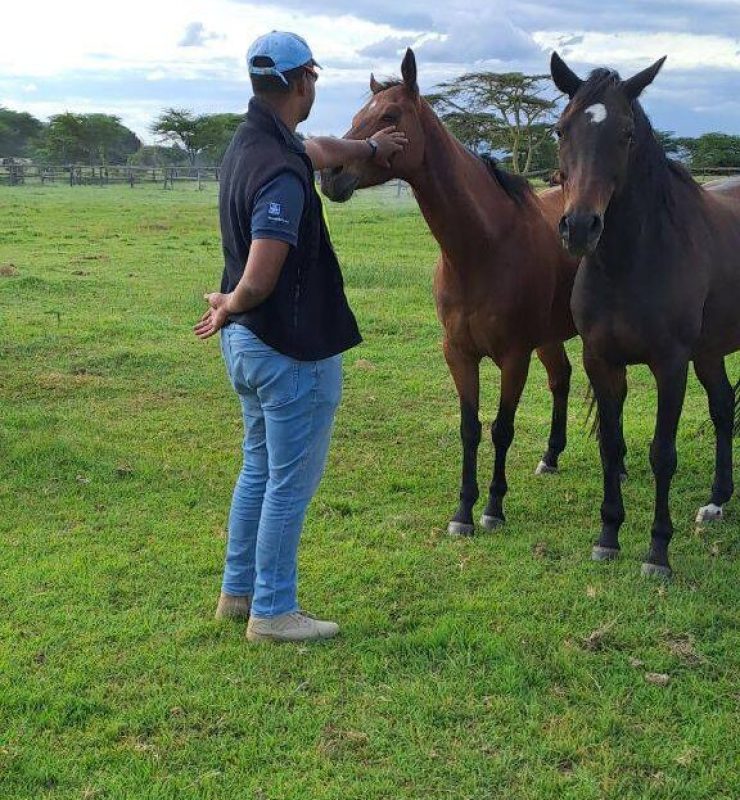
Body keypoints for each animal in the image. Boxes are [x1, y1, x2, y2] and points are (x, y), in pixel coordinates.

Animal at [320, 51, 580, 536]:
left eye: (389, 115)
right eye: (358, 115)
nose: (330, 173)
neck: (484, 247)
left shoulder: (514, 356)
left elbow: (501, 429)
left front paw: (493, 508)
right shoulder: (458, 353)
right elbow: (470, 428)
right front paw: (462, 512)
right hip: (551, 338)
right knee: (561, 379)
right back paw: (551, 457)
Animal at [552, 53, 736, 576]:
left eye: (627, 133)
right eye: (561, 129)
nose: (580, 227)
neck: (629, 264)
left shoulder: (670, 366)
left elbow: (662, 454)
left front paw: (658, 551)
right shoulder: (601, 361)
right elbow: (611, 446)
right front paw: (608, 536)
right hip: (710, 352)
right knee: (724, 407)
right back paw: (717, 501)